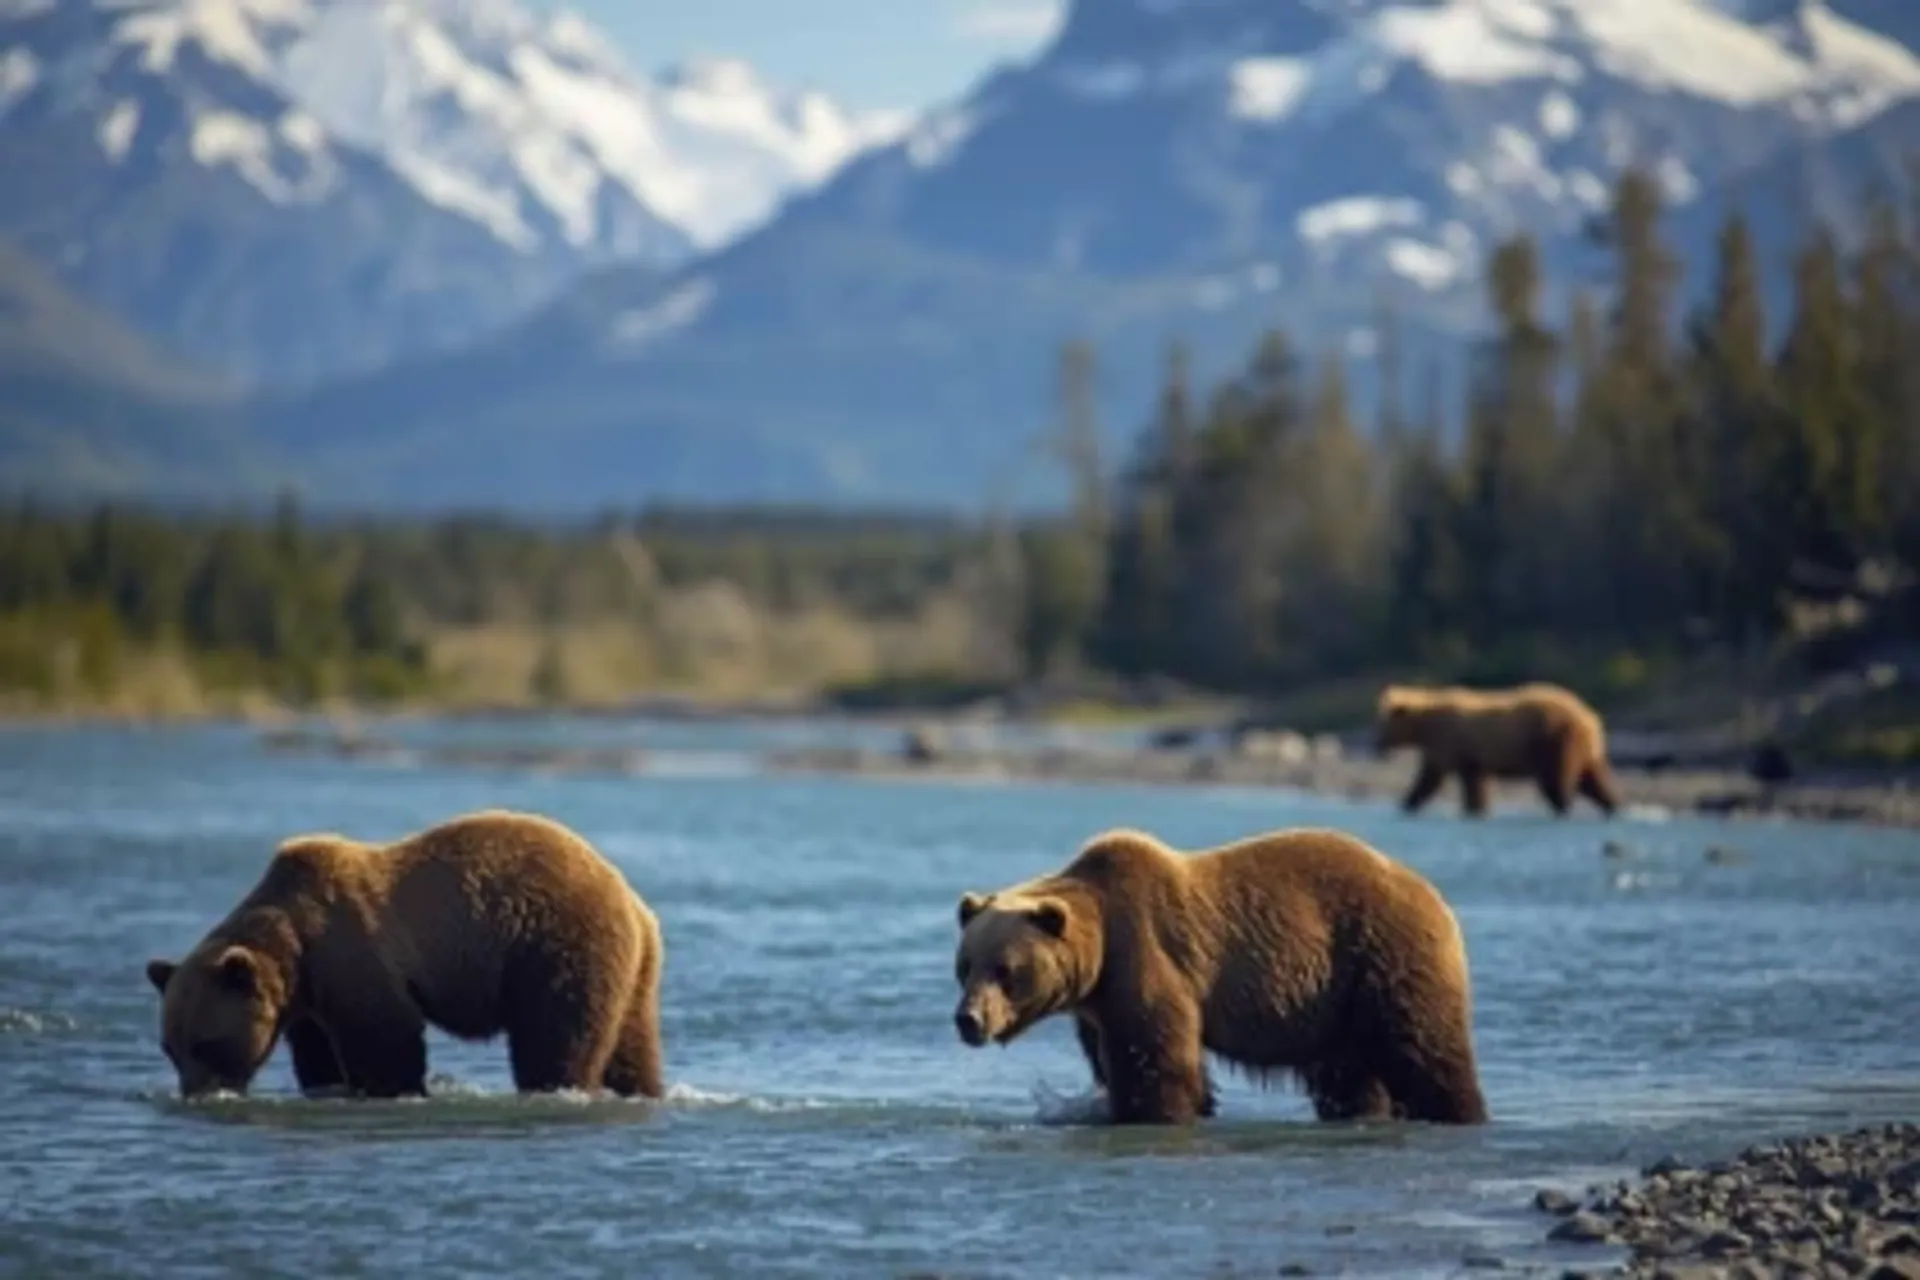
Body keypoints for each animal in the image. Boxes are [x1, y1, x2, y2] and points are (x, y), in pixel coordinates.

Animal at [145, 808, 664, 1101]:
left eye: (205, 1043)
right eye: (170, 1047)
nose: (194, 1092)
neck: (295, 951)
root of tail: (637, 905)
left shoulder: (352, 948)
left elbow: (385, 1034)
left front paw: (392, 1089)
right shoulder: (309, 998)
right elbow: (317, 1051)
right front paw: (329, 1086)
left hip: (555, 946)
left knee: (557, 1033)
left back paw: (554, 1085)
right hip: (630, 972)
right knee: (630, 1040)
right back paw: (642, 1089)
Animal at [951, 826, 1488, 1127]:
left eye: (1005, 969)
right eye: (964, 966)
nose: (969, 1020)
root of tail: (1435, 896)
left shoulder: (1146, 953)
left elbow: (1154, 1053)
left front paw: (1152, 1113)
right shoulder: (1097, 1005)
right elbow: (1114, 1054)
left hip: (1379, 955)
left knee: (1424, 1049)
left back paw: (1458, 1112)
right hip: (1337, 1001)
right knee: (1350, 1074)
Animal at [1374, 681, 1620, 819]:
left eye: (1382, 724)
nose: (1375, 744)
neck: (1424, 725)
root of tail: (1590, 718)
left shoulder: (1450, 742)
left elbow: (1433, 779)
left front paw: (1406, 803)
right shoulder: (1469, 755)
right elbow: (1471, 783)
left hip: (1554, 740)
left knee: (1556, 779)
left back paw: (1563, 807)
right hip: (1582, 748)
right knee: (1593, 779)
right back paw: (1612, 806)